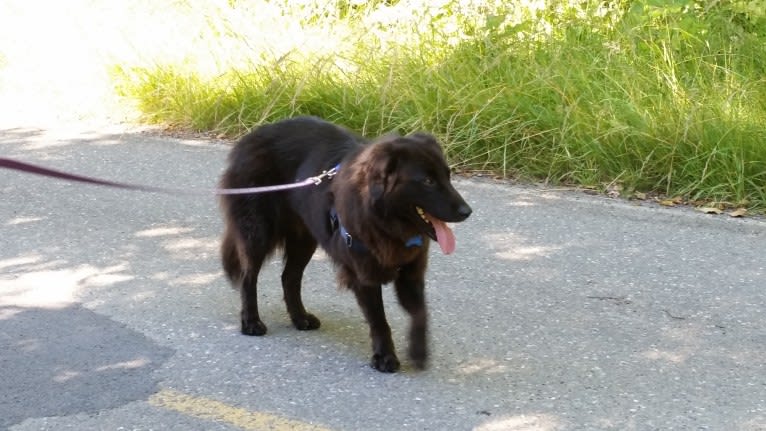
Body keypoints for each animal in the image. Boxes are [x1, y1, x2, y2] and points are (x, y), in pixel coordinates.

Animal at [219, 116, 472, 372]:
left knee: (289, 277)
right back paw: (251, 321)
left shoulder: (411, 273)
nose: (467, 212)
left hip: (304, 239)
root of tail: (250, 137)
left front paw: (418, 351)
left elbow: (421, 313)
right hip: (257, 233)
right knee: (249, 277)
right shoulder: (364, 275)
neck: (383, 220)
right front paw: (385, 356)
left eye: (448, 176)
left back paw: (300, 317)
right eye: (428, 181)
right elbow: (379, 320)